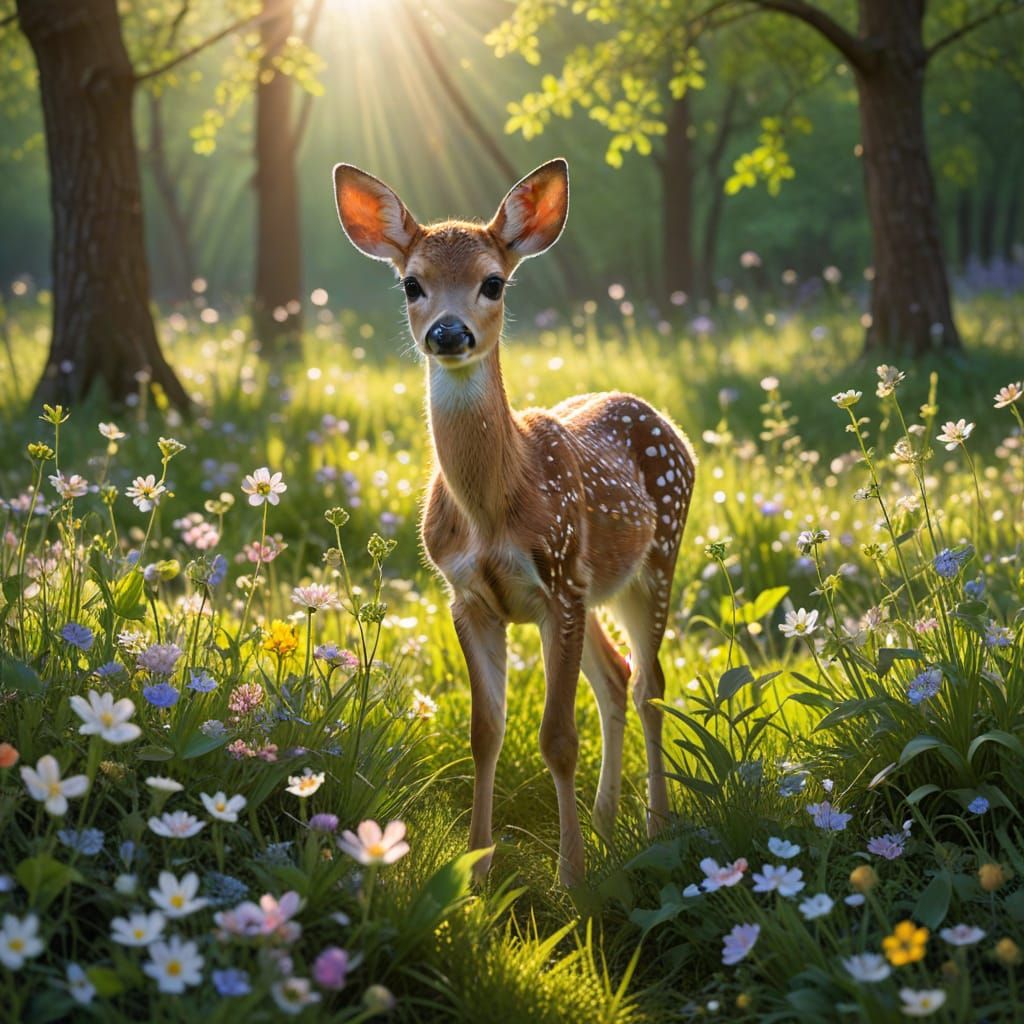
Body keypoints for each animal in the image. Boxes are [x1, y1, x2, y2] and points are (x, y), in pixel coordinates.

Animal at [332, 158, 696, 886]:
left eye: (492, 282)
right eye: (412, 283)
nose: (448, 333)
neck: (493, 509)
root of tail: (666, 421)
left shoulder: (558, 578)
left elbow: (557, 738)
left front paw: (572, 877)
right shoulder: (468, 597)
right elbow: (484, 733)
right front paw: (476, 870)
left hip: (656, 559)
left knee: (651, 684)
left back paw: (654, 825)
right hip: (597, 590)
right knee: (617, 678)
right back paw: (607, 821)